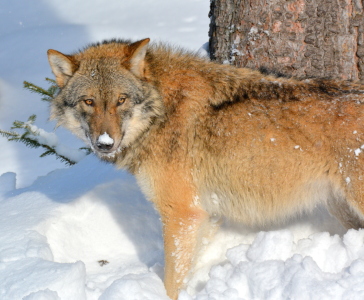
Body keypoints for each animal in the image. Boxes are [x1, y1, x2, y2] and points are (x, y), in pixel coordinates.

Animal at [47, 37, 364, 298]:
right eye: (89, 102)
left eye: (121, 100)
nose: (104, 143)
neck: (161, 111)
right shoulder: (205, 215)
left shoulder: (182, 214)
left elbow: (172, 279)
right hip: (340, 207)